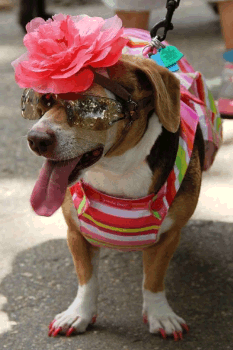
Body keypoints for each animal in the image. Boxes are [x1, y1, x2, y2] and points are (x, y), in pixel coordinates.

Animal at [20, 28, 222, 340]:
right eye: (46, 99)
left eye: (90, 108)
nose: (36, 139)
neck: (117, 171)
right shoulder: (75, 233)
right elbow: (87, 279)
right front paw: (79, 313)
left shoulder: (168, 236)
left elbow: (153, 279)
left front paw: (160, 314)